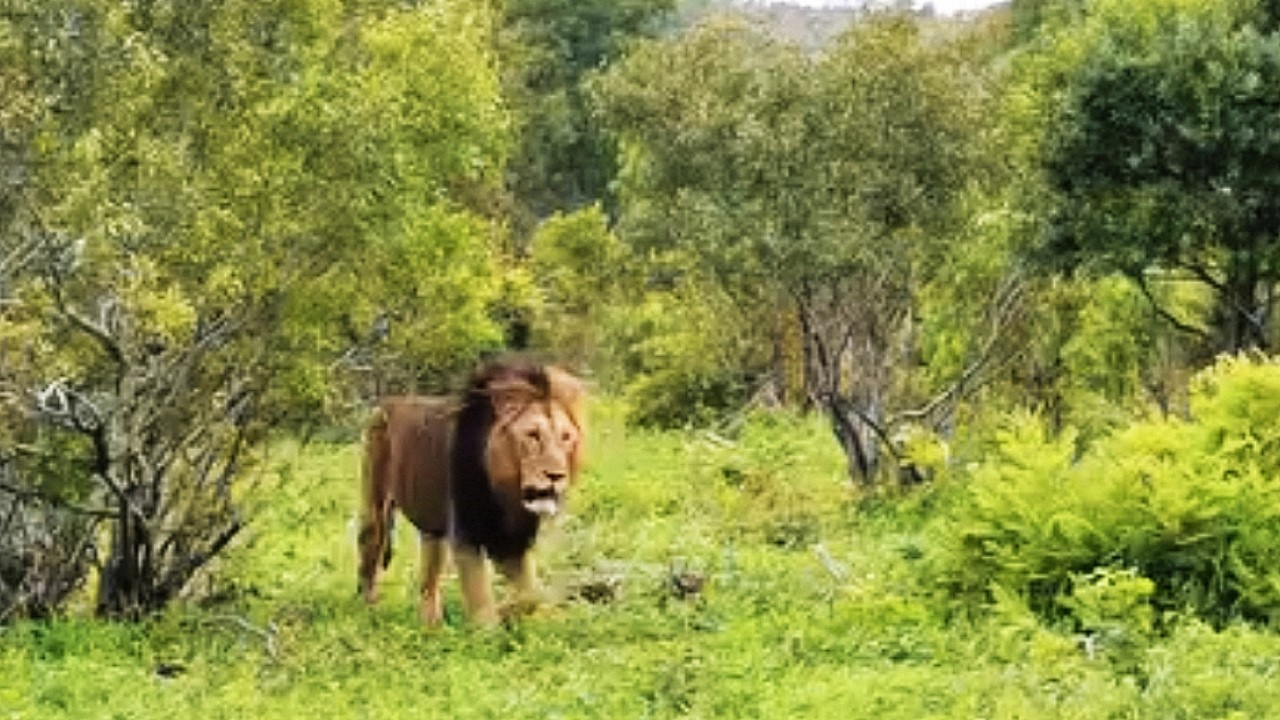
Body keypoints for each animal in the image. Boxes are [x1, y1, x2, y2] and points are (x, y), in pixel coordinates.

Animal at [357, 358, 585, 626]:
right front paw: (490, 627)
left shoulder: (513, 541)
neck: (504, 492)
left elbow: (531, 593)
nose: (557, 476)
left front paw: (511, 611)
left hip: (433, 529)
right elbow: (482, 602)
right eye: (532, 435)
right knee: (369, 557)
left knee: (428, 582)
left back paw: (432, 627)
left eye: (566, 437)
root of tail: (387, 402)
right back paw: (369, 614)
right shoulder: (467, 538)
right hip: (376, 505)